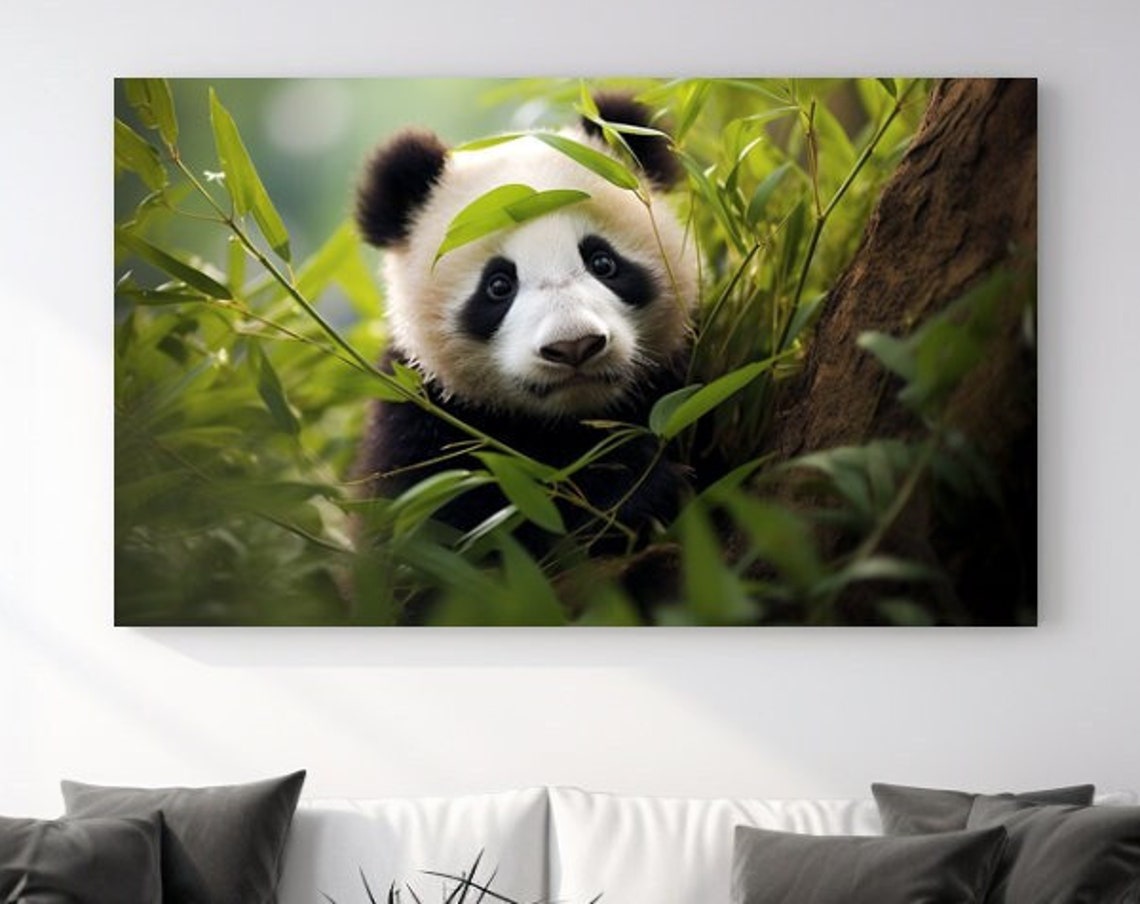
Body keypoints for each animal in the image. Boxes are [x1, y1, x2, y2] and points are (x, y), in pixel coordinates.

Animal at [353, 93, 698, 549]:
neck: (568, 423)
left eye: (603, 262)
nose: (574, 345)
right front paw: (633, 490)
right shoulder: (421, 430)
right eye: (499, 285)